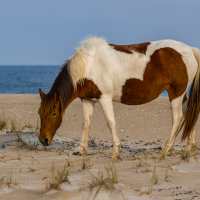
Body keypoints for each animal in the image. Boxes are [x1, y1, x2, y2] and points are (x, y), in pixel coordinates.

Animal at [38, 37, 200, 159]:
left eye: (54, 113)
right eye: (40, 113)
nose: (43, 140)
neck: (89, 65)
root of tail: (190, 50)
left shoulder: (105, 98)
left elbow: (111, 122)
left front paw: (115, 152)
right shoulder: (87, 100)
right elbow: (86, 124)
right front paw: (81, 149)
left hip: (176, 94)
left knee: (178, 118)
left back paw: (166, 150)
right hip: (182, 95)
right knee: (189, 115)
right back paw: (188, 149)